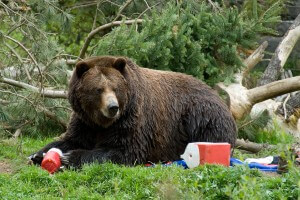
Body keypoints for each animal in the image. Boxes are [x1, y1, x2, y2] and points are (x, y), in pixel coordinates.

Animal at [29, 55, 237, 168]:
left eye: (115, 88)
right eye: (98, 89)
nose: (113, 107)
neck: (102, 122)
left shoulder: (132, 118)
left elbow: (124, 150)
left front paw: (69, 157)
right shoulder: (84, 121)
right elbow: (70, 138)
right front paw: (38, 155)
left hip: (200, 116)